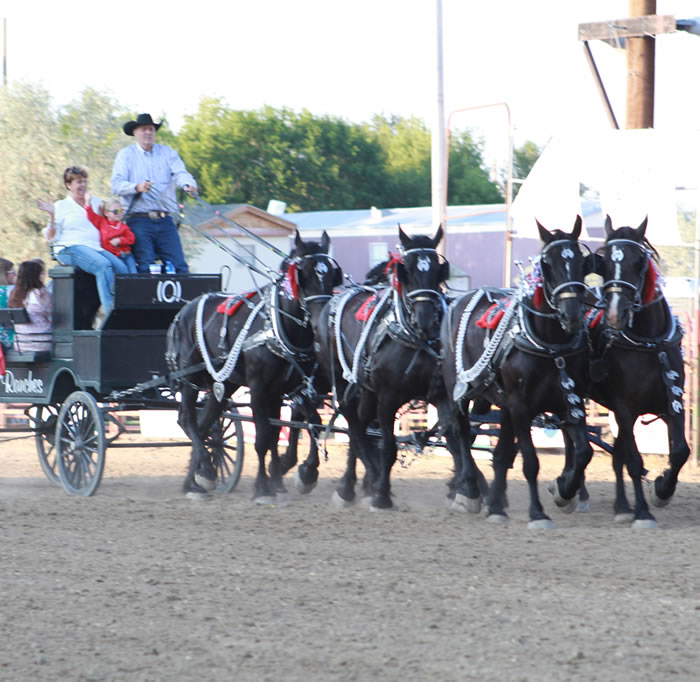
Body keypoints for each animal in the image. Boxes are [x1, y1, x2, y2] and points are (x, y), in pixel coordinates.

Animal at [167, 228, 342, 500]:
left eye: (332, 275)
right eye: (305, 274)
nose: (322, 319)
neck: (278, 328)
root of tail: (183, 312)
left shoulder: (289, 390)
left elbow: (298, 427)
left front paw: (301, 475)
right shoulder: (259, 389)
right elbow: (263, 438)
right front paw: (263, 487)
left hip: (223, 384)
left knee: (205, 425)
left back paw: (194, 481)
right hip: (189, 378)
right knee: (188, 421)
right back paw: (205, 469)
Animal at [310, 226, 448, 508]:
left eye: (438, 270)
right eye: (407, 270)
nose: (426, 320)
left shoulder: (438, 393)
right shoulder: (388, 398)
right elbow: (389, 448)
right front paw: (382, 494)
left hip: (366, 391)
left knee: (359, 427)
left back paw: (356, 484)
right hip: (344, 384)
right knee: (354, 426)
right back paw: (356, 484)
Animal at [440, 218, 592, 524]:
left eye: (582, 261)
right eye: (547, 263)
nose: (571, 314)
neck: (551, 347)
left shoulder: (569, 403)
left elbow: (583, 451)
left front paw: (564, 490)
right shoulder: (521, 406)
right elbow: (531, 461)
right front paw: (537, 513)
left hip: (499, 401)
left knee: (499, 451)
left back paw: (497, 504)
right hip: (458, 389)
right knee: (461, 432)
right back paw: (469, 491)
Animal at [584, 215, 688, 524]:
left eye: (638, 260)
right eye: (604, 261)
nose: (614, 314)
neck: (649, 342)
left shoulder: (673, 402)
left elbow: (680, 451)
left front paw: (662, 489)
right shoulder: (624, 407)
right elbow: (634, 459)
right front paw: (642, 511)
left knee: (615, 453)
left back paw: (621, 505)